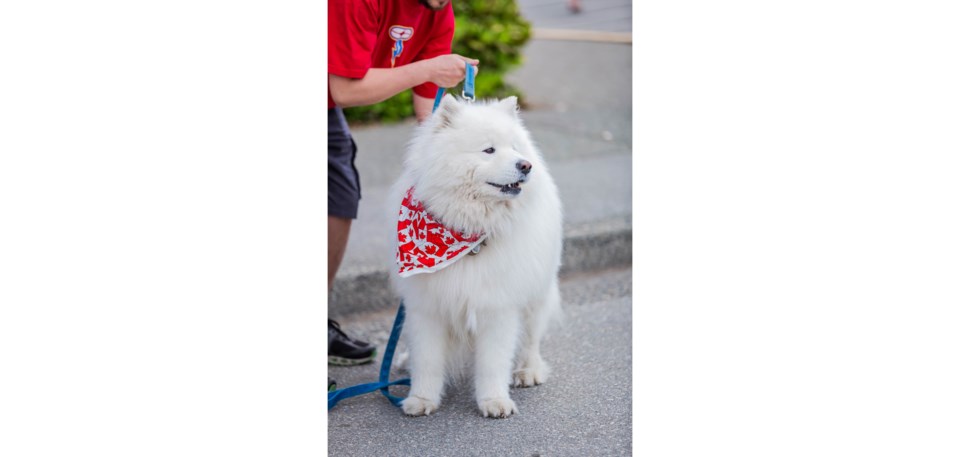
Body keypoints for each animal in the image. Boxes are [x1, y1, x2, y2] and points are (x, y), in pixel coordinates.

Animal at [386, 93, 560, 416]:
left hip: (536, 293)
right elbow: (427, 360)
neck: (470, 235)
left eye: (514, 148)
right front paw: (421, 399)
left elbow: (493, 362)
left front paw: (494, 402)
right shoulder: (426, 307)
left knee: (531, 339)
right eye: (489, 149)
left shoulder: (497, 306)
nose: (526, 165)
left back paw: (528, 371)